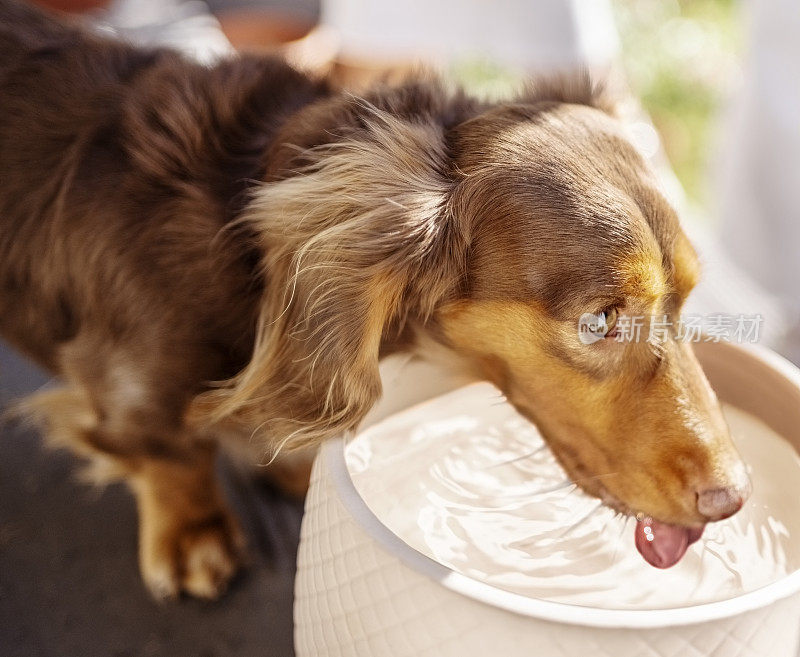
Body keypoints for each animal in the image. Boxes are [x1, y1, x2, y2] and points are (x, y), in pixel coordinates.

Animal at [0, 0, 752, 596]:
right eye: (599, 321)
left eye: (685, 300)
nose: (734, 499)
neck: (241, 224)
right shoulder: (134, 380)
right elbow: (168, 452)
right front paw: (192, 532)